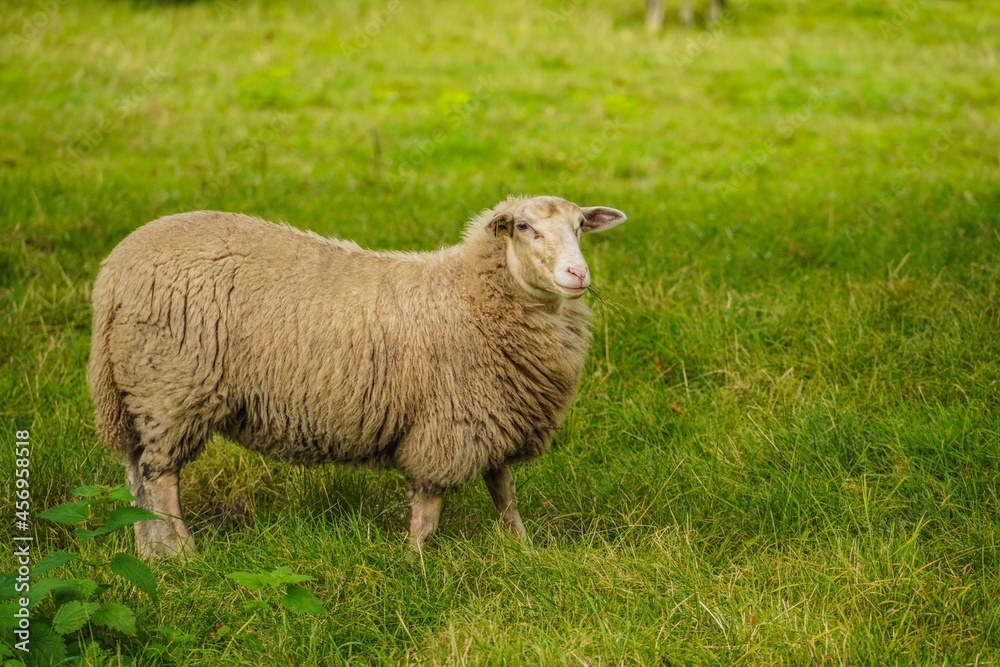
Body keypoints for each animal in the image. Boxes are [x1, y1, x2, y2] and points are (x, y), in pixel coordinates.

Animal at [89, 195, 627, 558]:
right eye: (523, 226)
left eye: (582, 225)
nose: (577, 275)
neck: (471, 296)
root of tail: (113, 271)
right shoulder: (447, 425)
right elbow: (429, 509)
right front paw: (415, 563)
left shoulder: (494, 416)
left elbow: (505, 493)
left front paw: (524, 550)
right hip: (171, 391)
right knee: (161, 480)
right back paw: (184, 554)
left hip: (139, 392)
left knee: (136, 475)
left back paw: (150, 554)